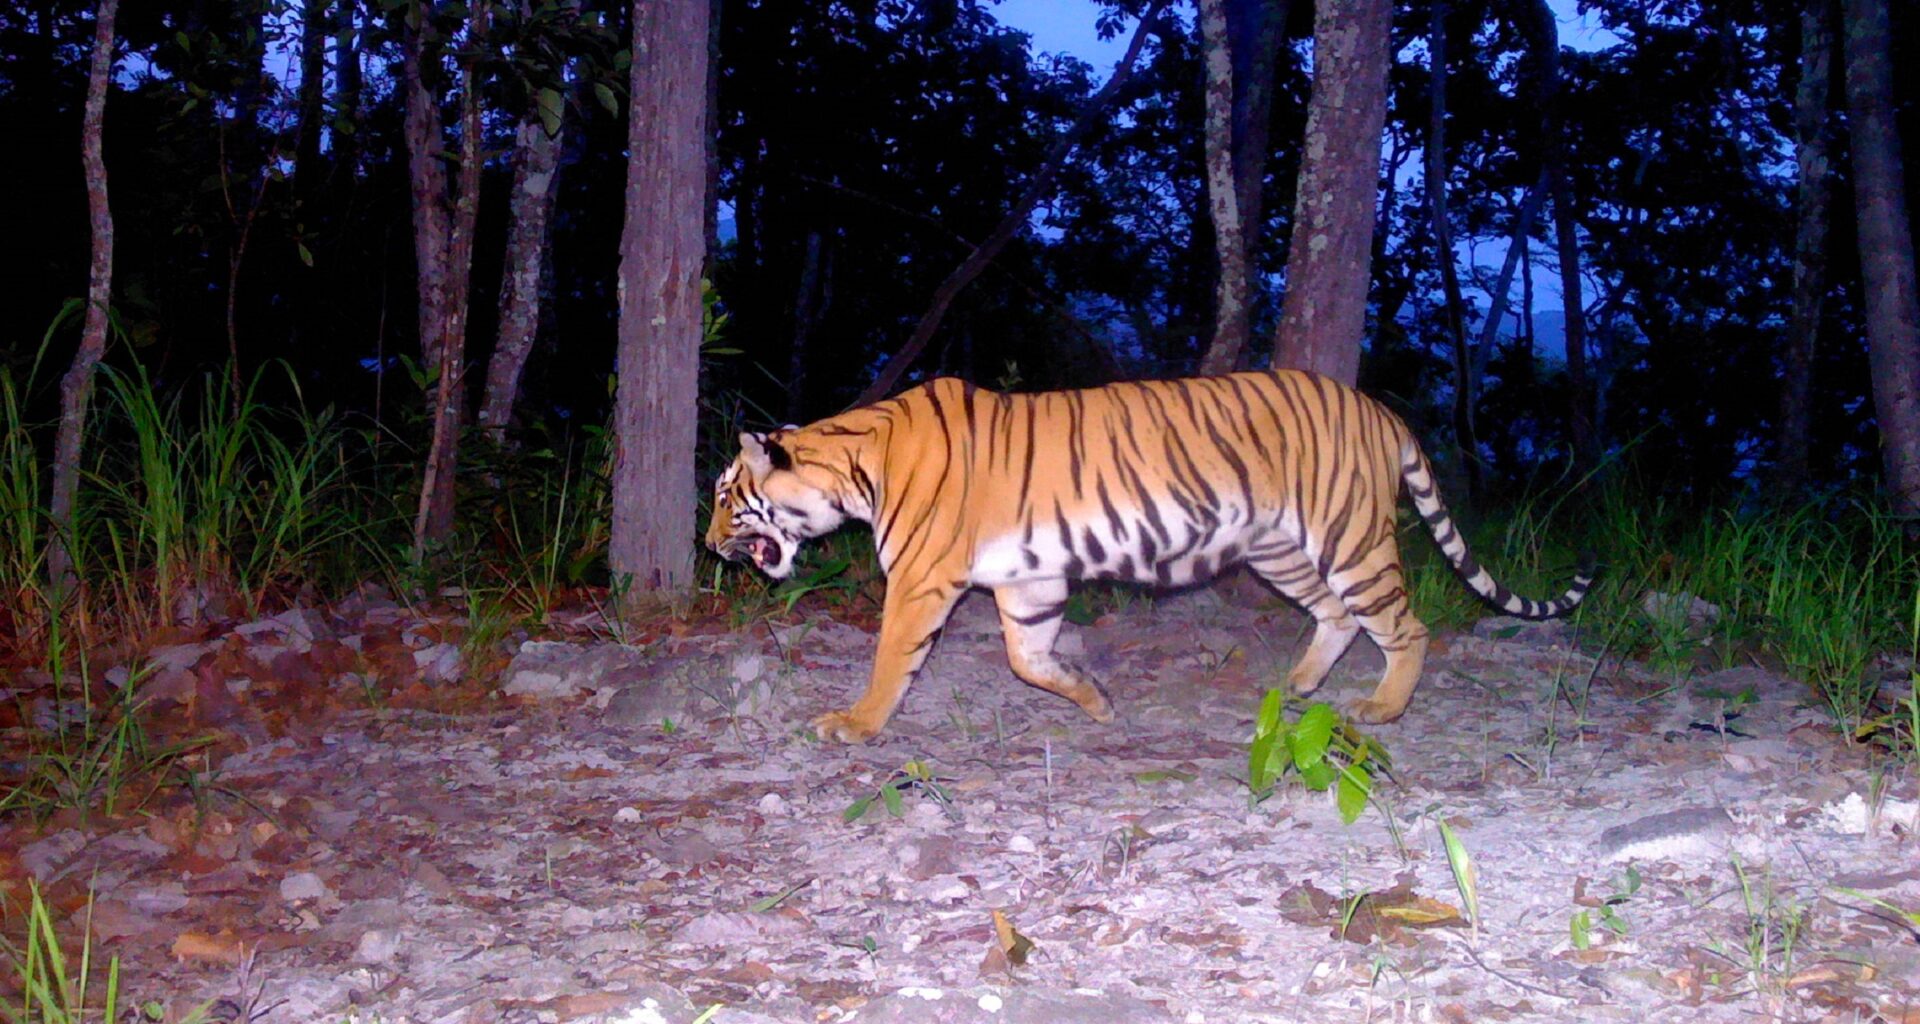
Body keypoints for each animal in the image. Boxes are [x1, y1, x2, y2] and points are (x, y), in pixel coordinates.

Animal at [706, 369, 1593, 744]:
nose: (708, 544)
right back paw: (1298, 685)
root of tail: (1378, 407)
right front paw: (1094, 701)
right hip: (1280, 549)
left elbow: (893, 658)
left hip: (1349, 538)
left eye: (724, 493)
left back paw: (1381, 708)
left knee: (1405, 628)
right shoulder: (1031, 578)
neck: (853, 462)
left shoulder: (921, 581)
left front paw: (855, 725)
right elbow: (1030, 659)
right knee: (1337, 617)